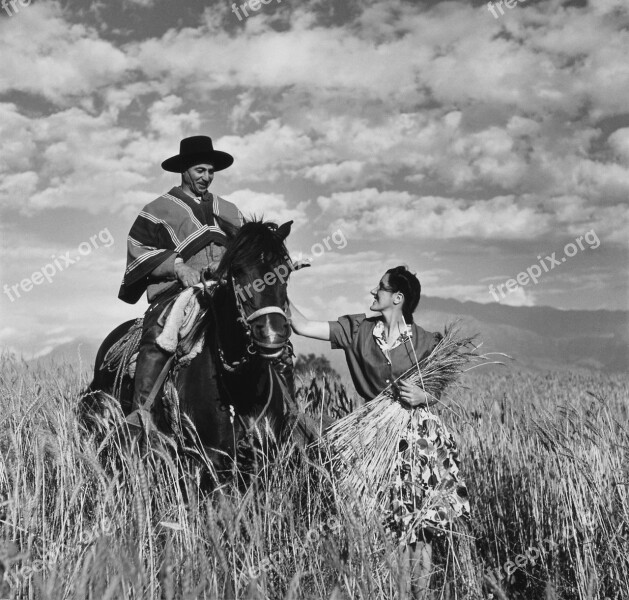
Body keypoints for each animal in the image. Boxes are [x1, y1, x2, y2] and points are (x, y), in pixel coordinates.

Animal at [82, 219, 298, 478]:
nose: (271, 333)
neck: (241, 387)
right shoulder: (209, 462)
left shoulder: (263, 459)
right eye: (237, 270)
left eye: (285, 270)